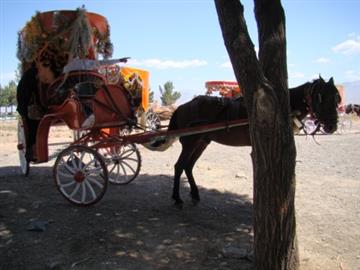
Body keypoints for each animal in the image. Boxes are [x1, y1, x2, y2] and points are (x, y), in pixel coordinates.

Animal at [155, 76, 340, 207]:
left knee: (188, 166)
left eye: (337, 98)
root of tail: (181, 107)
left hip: (202, 142)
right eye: (321, 97)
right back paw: (177, 198)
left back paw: (194, 194)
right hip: (190, 142)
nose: (332, 125)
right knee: (179, 166)